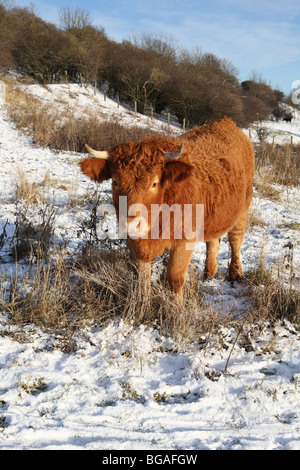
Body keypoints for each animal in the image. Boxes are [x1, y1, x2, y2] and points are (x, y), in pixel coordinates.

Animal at [78, 119, 254, 300]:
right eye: (115, 182)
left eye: (154, 183)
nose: (133, 223)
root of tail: (227, 121)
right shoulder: (135, 244)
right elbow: (143, 277)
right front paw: (143, 302)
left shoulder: (184, 240)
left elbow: (175, 277)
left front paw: (177, 306)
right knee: (213, 241)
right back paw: (209, 273)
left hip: (244, 207)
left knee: (235, 240)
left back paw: (235, 274)